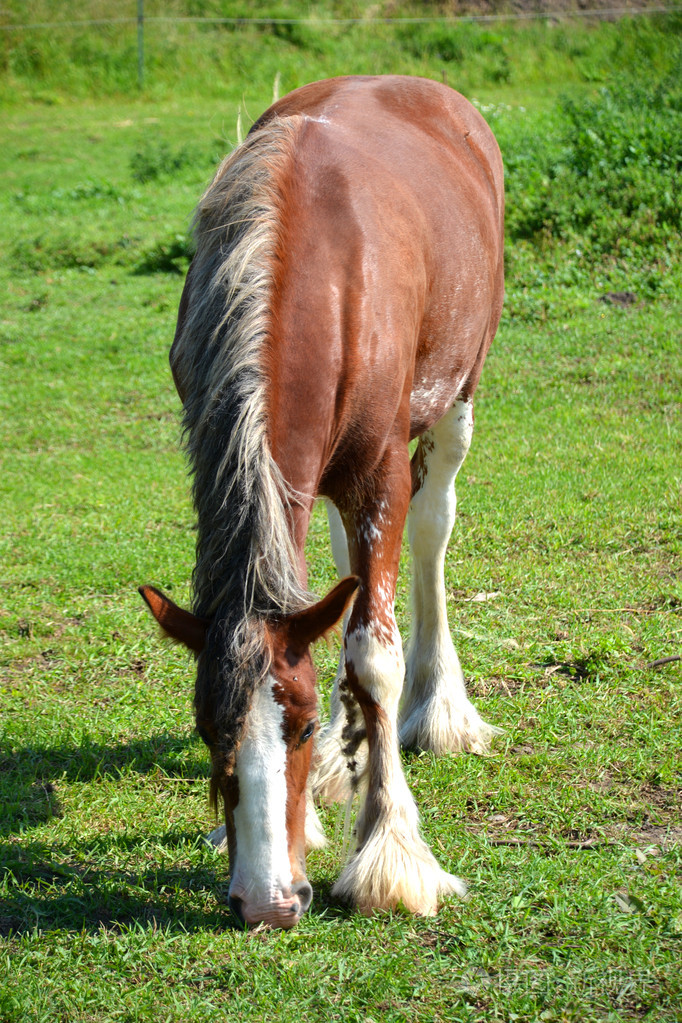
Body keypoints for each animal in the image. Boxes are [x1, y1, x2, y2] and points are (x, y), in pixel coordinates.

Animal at [140, 74, 504, 929]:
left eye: (301, 724)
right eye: (208, 728)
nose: (268, 901)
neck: (321, 280)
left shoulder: (379, 475)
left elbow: (374, 654)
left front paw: (393, 854)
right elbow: (329, 614)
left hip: (457, 398)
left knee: (431, 533)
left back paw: (440, 707)